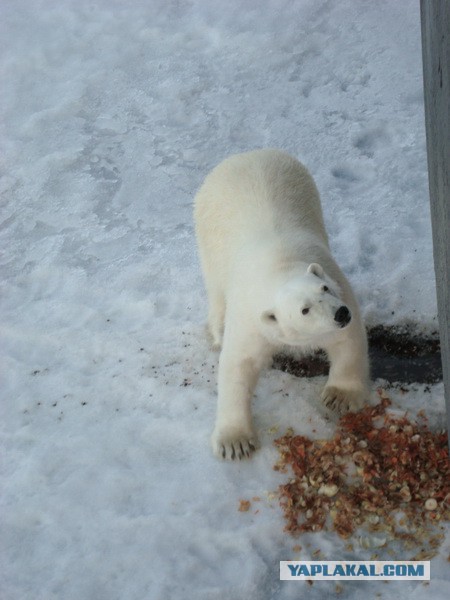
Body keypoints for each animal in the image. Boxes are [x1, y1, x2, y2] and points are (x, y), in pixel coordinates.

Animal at [193, 150, 370, 460]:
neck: (281, 265)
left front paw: (339, 396)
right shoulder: (250, 318)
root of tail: (245, 155)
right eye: (304, 309)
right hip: (209, 233)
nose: (340, 313)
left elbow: (347, 341)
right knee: (215, 291)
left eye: (324, 288)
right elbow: (238, 364)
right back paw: (216, 333)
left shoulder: (337, 282)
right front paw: (235, 442)